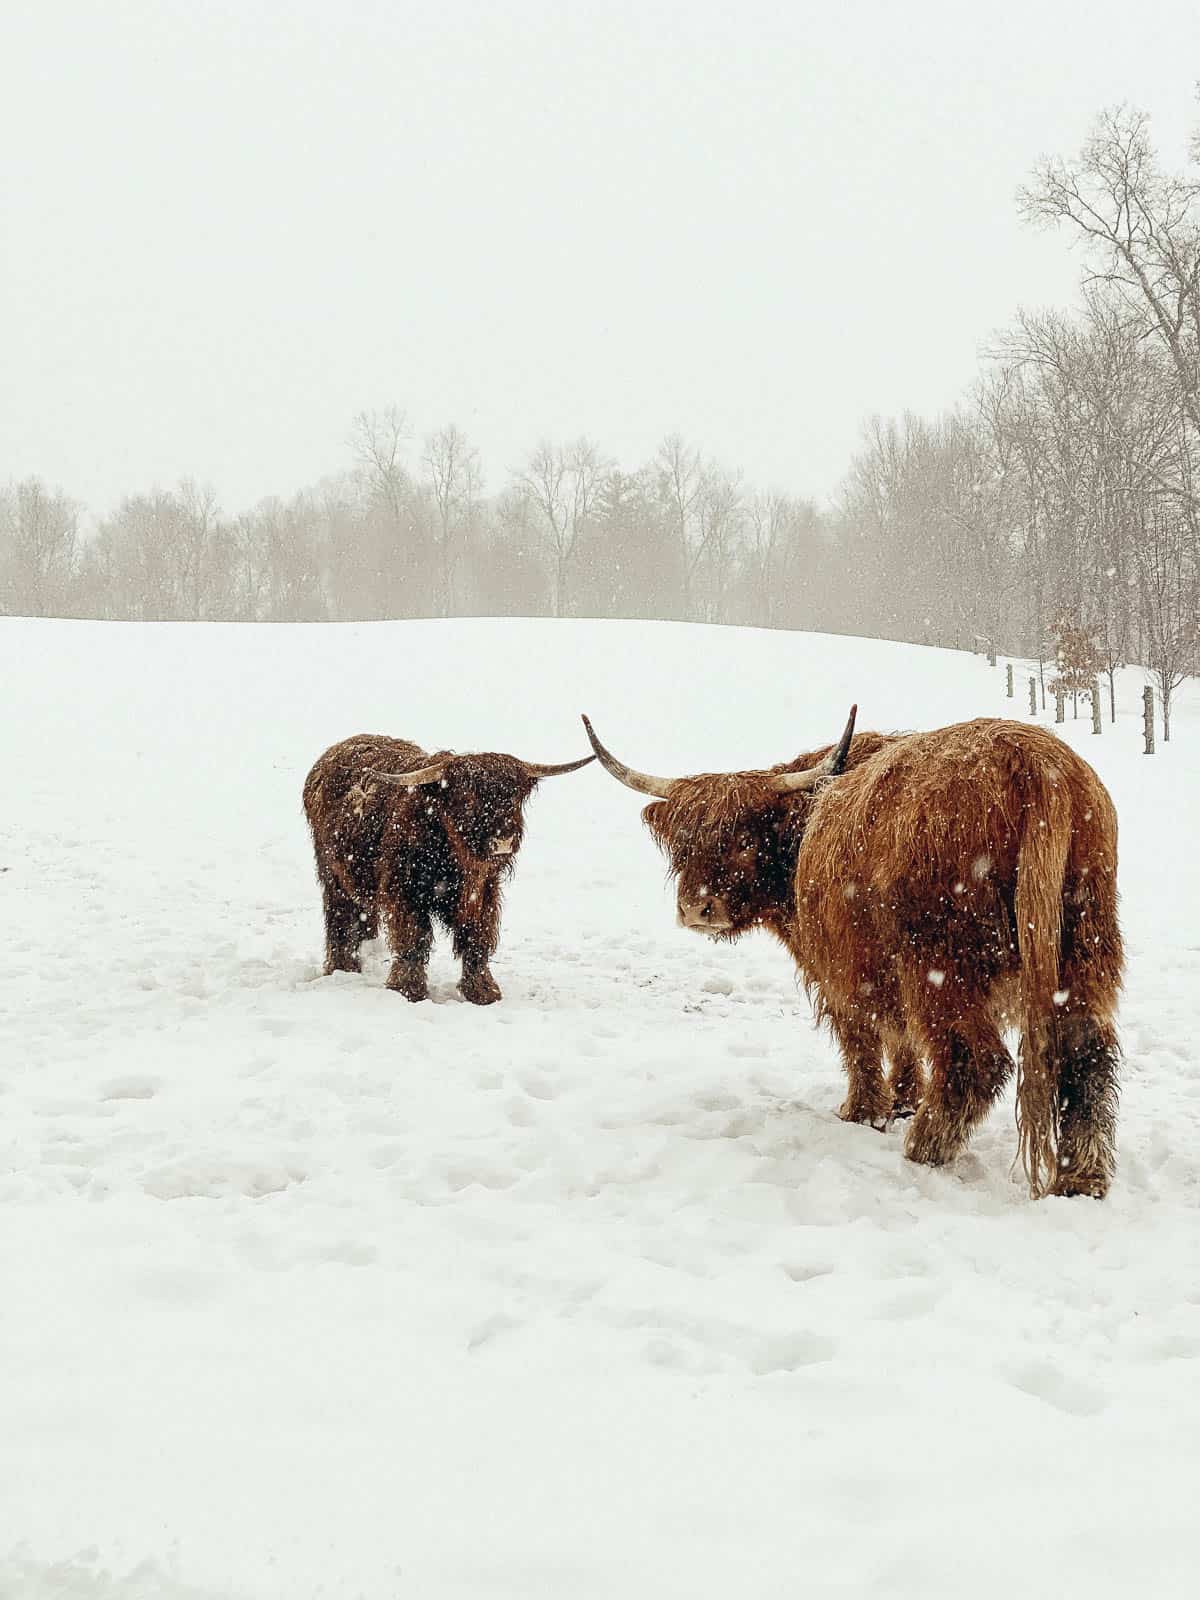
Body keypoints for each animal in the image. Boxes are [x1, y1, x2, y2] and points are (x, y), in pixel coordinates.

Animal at [307, 732, 595, 998]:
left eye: (514, 798)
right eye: (468, 798)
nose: (502, 840)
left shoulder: (484, 891)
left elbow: (477, 937)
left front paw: (482, 991)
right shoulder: (404, 892)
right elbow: (414, 938)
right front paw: (408, 989)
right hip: (332, 873)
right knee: (340, 918)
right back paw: (343, 967)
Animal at [588, 707, 1126, 1196]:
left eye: (743, 839)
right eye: (683, 842)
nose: (698, 908)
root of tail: (1032, 759)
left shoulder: (841, 970)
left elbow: (860, 1036)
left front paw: (863, 1111)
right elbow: (902, 1039)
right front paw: (902, 1099)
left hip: (940, 962)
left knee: (975, 1059)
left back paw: (923, 1149)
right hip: (1085, 945)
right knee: (1086, 1051)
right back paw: (1081, 1177)